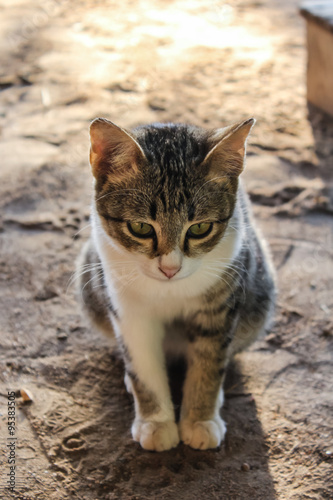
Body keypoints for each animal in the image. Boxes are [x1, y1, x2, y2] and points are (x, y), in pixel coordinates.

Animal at [77, 117, 274, 454]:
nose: (170, 268)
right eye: (140, 227)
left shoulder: (220, 304)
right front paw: (155, 423)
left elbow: (209, 362)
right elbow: (142, 365)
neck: (167, 289)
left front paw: (200, 420)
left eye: (200, 228)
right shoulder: (128, 311)